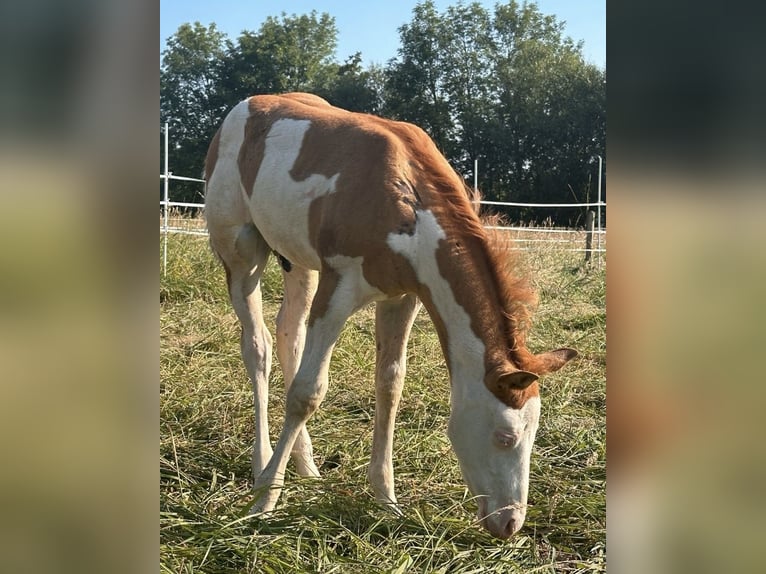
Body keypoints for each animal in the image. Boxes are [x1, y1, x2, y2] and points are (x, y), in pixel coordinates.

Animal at [204, 94, 576, 540]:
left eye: (534, 433)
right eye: (505, 436)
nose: (510, 523)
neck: (405, 199)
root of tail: (241, 109)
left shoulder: (403, 297)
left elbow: (390, 384)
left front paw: (386, 500)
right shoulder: (338, 287)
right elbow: (307, 393)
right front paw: (264, 503)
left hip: (297, 262)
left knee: (288, 333)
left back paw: (306, 466)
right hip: (242, 253)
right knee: (257, 346)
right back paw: (262, 466)